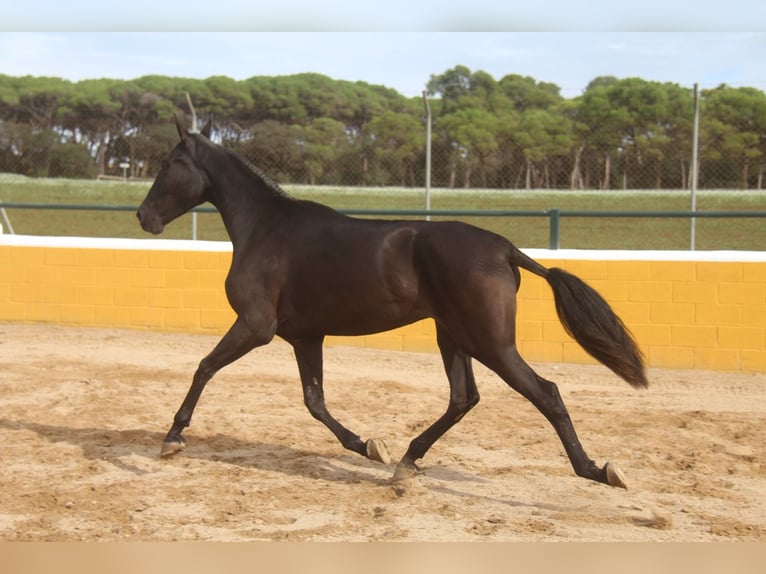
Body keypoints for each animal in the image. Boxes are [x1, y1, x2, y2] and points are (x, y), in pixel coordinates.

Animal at [138, 116, 648, 490]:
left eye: (168, 162)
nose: (143, 216)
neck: (265, 229)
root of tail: (504, 248)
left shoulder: (255, 325)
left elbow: (204, 367)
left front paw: (172, 437)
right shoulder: (305, 336)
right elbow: (314, 401)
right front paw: (370, 446)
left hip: (491, 343)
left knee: (546, 393)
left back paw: (597, 470)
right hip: (454, 337)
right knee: (463, 398)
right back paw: (406, 462)